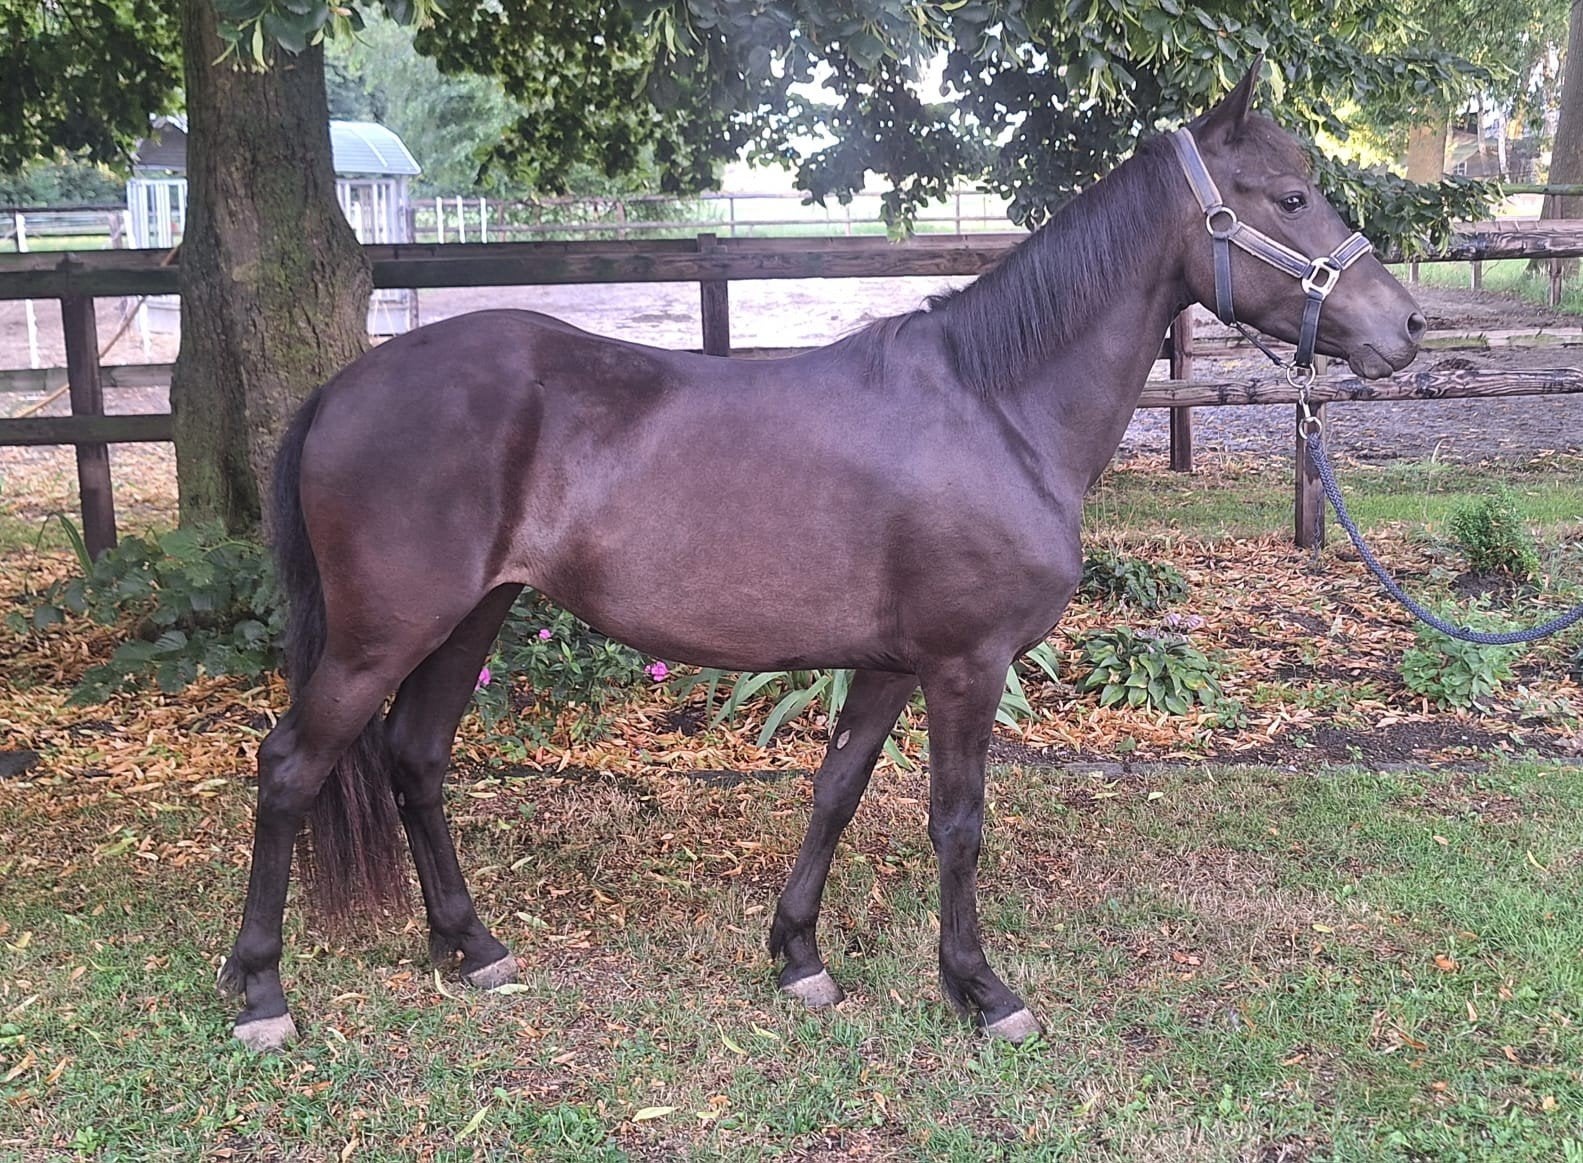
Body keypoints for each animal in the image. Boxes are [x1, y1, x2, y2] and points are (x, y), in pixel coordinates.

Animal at [218, 64, 1424, 1051]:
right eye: (1287, 197)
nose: (1404, 326)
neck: (994, 405)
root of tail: (346, 386)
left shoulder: (886, 663)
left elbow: (835, 791)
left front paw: (797, 956)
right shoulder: (964, 665)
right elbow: (956, 822)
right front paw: (980, 989)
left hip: (470, 616)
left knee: (414, 758)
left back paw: (471, 948)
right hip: (383, 632)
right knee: (292, 766)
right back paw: (261, 992)